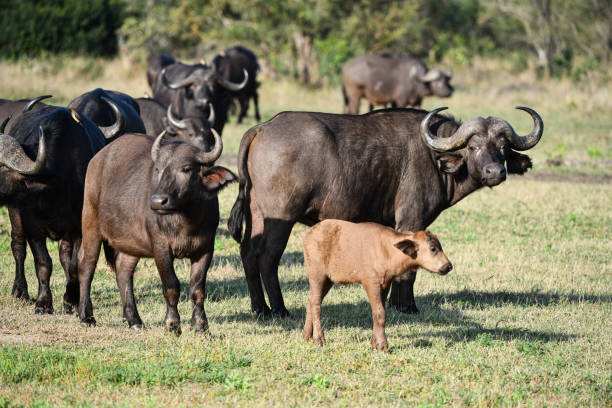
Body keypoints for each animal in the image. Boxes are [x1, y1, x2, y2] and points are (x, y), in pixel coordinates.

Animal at [76, 131, 237, 332]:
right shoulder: (160, 248)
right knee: (86, 265)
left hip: (131, 242)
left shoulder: (206, 248)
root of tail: (97, 159)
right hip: (90, 224)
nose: (158, 201)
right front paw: (172, 324)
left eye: (186, 169)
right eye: (158, 169)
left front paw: (200, 326)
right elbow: (171, 286)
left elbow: (197, 289)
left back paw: (134, 320)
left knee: (123, 270)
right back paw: (86, 317)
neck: (186, 221)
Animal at [227, 105, 544, 316]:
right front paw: (407, 306)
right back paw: (279, 310)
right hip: (281, 218)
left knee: (247, 253)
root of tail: (262, 128)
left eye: (502, 146)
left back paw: (260, 309)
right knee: (267, 259)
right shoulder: (411, 220)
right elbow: (410, 268)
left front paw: (390, 301)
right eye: (473, 146)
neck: (434, 157)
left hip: (256, 214)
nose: (495, 172)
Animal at [302, 220, 450, 350]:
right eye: (433, 248)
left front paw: (374, 343)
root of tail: (309, 234)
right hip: (317, 274)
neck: (387, 251)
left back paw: (307, 336)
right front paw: (381, 345)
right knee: (316, 303)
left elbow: (379, 312)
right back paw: (319, 339)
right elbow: (380, 313)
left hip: (328, 279)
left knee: (310, 300)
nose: (448, 266)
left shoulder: (385, 284)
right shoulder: (371, 283)